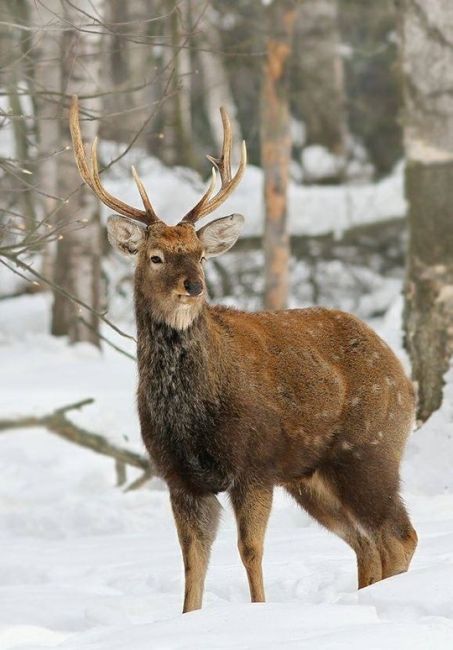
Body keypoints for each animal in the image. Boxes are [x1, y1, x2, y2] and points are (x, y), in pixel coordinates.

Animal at [69, 93, 416, 612]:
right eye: (155, 256)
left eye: (199, 253)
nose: (194, 286)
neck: (192, 414)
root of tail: (402, 374)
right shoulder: (180, 477)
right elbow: (192, 563)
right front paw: (190, 617)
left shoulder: (254, 463)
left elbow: (249, 550)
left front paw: (258, 611)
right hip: (311, 476)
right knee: (366, 543)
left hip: (369, 449)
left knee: (398, 536)